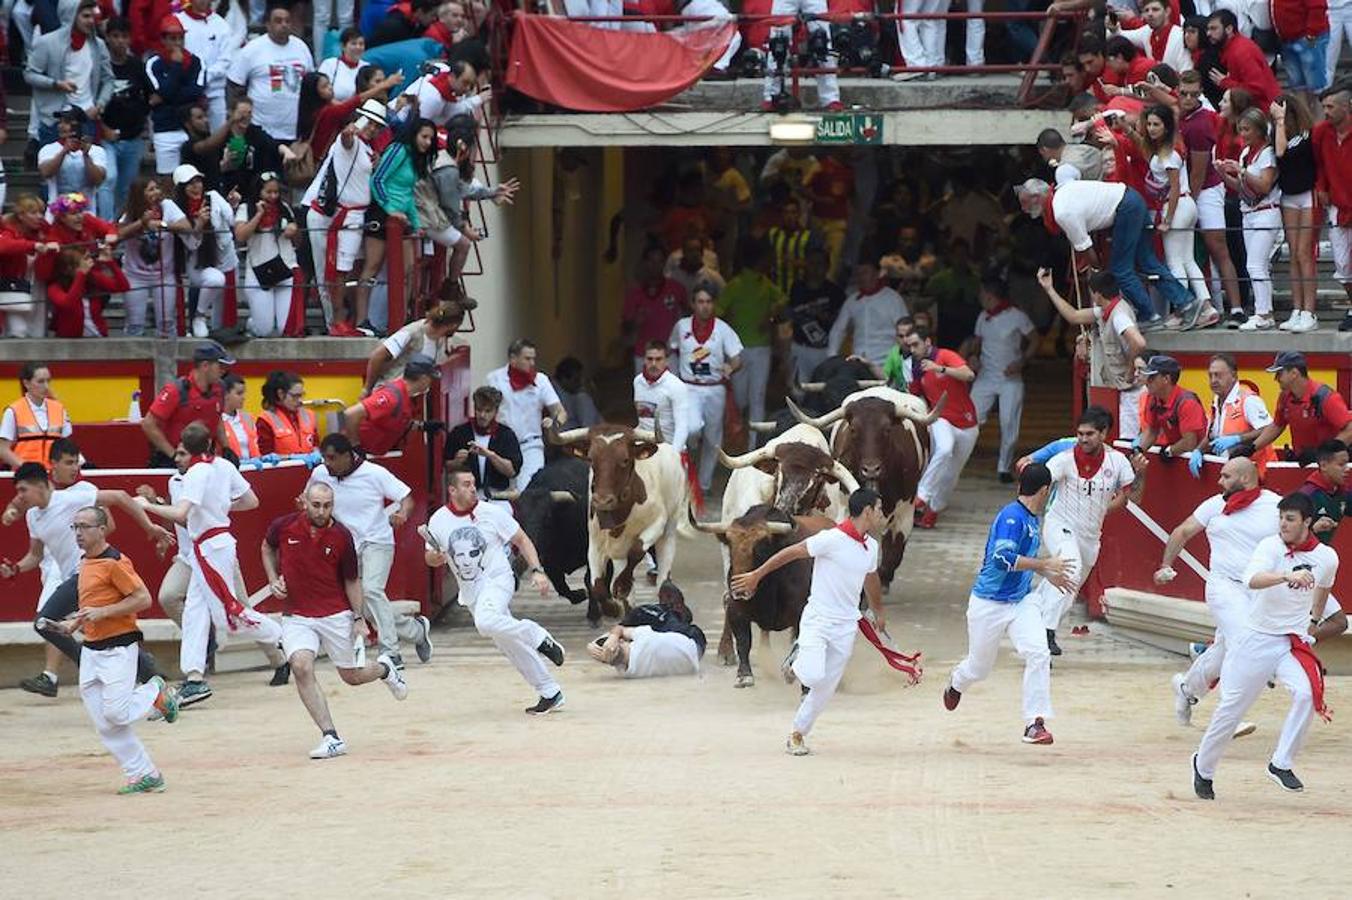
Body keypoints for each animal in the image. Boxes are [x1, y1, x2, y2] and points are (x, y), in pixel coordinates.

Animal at [548, 424, 686, 621]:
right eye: (591, 458)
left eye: (625, 459)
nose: (603, 500)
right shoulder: (595, 543)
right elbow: (597, 585)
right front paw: (611, 606)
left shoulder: (657, 524)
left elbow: (637, 550)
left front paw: (621, 585)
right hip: (618, 550)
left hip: (669, 533)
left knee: (663, 577)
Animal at [789, 386, 946, 589]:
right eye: (854, 429)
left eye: (887, 429)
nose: (871, 469)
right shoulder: (846, 509)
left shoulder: (904, 515)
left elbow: (892, 554)